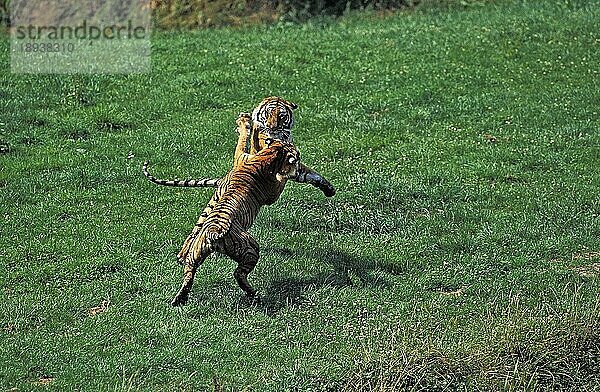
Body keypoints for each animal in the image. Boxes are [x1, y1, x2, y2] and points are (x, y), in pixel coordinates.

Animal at [171, 113, 298, 306]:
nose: (298, 154)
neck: (269, 155)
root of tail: (214, 232)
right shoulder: (273, 193)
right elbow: (281, 179)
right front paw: (290, 171)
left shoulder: (241, 156)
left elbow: (242, 141)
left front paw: (244, 124)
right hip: (251, 248)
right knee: (239, 274)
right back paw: (254, 295)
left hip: (195, 253)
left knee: (189, 274)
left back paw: (179, 299)